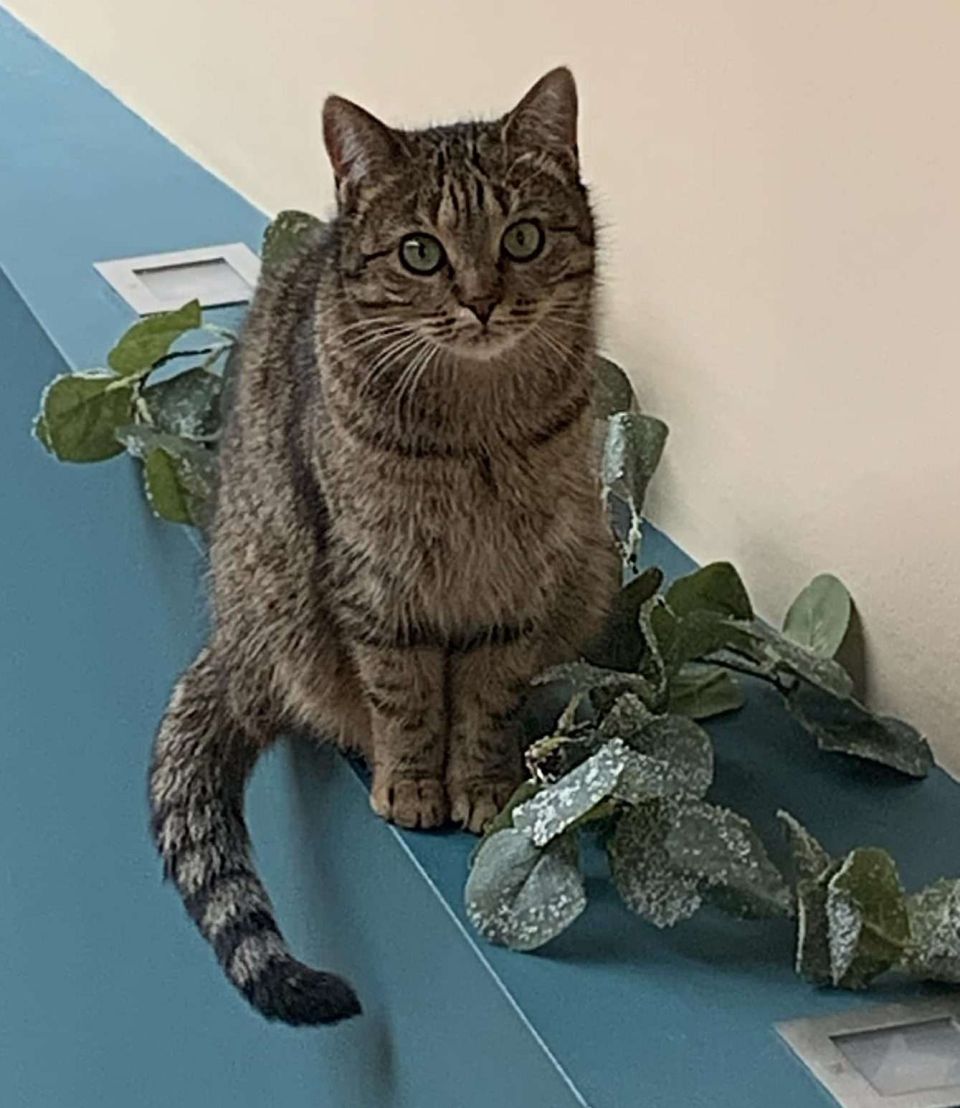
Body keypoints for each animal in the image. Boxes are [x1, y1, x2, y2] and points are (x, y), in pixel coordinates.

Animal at [148, 66, 619, 1027]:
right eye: (420, 253)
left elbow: (486, 698)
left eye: (522, 237)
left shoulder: (518, 585)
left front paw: (480, 780)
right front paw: (413, 780)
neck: (479, 430)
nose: (481, 299)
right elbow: (404, 696)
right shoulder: (376, 583)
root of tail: (231, 639)